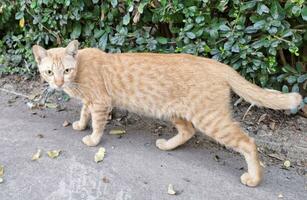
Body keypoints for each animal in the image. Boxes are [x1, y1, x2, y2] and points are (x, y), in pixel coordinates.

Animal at [32, 39, 302, 187]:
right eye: (49, 72)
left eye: (66, 70)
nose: (57, 83)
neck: (78, 71)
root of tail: (217, 63)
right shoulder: (90, 101)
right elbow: (83, 112)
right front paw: (80, 125)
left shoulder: (100, 101)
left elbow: (97, 122)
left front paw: (93, 139)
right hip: (176, 113)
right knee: (188, 131)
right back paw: (166, 145)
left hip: (212, 120)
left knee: (248, 143)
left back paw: (254, 179)